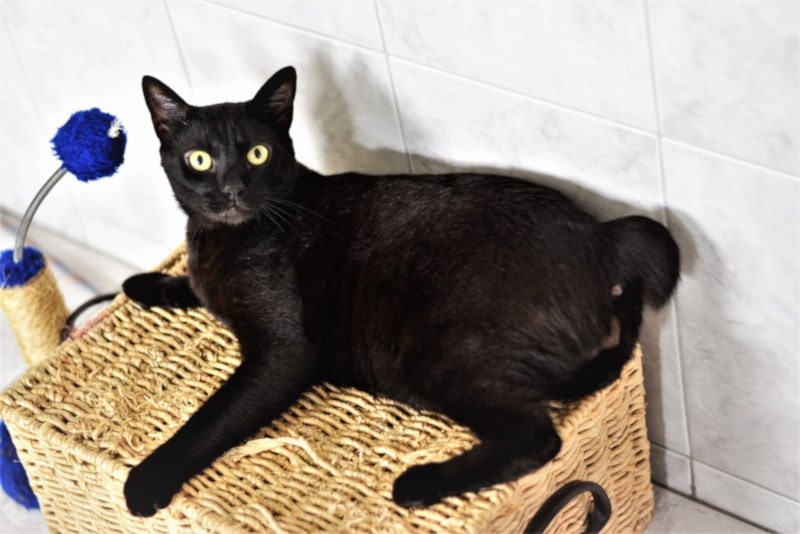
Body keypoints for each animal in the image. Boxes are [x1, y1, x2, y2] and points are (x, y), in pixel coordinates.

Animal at [122, 67, 680, 520]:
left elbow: (208, 421)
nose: (233, 189)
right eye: (199, 160)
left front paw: (145, 482)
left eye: (258, 154)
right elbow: (195, 288)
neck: (222, 237)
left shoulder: (283, 353)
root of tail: (605, 238)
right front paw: (144, 283)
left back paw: (416, 484)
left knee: (536, 438)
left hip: (437, 355)